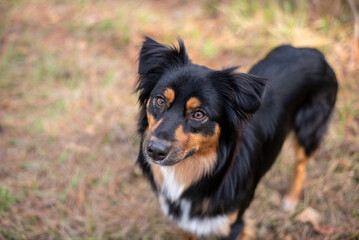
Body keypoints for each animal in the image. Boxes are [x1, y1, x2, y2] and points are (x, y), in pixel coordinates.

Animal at [136, 36, 338, 239]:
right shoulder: (183, 224)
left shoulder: (233, 224)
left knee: (301, 164)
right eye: (160, 100)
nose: (154, 151)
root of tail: (312, 50)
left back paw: (291, 198)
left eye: (199, 114)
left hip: (308, 132)